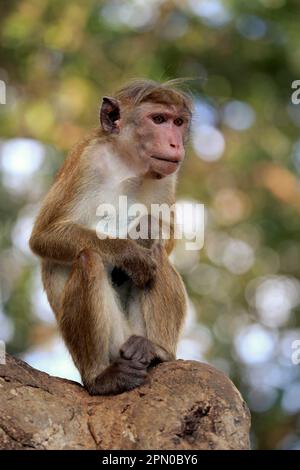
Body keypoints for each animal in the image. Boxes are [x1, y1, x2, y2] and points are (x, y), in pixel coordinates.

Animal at [29, 79, 192, 394]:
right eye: (158, 119)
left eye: (178, 122)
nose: (175, 143)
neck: (127, 167)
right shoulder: (87, 161)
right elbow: (44, 236)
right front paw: (130, 254)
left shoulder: (168, 176)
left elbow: (165, 236)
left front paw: (146, 228)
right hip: (114, 344)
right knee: (88, 259)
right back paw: (100, 377)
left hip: (133, 337)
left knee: (158, 257)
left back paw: (158, 352)